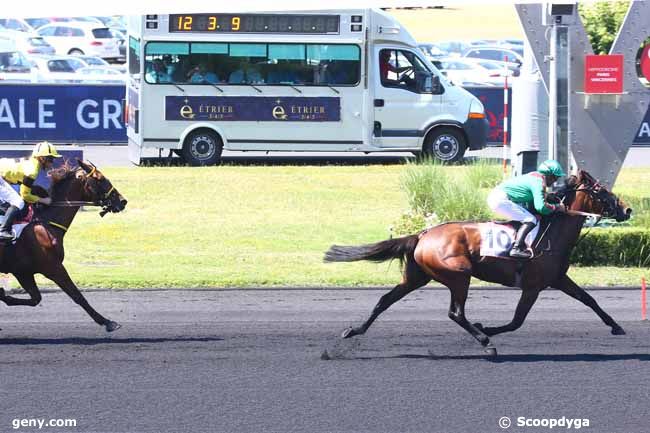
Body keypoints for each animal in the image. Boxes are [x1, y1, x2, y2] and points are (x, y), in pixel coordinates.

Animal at [0, 160, 128, 332]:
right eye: (100, 178)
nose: (122, 201)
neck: (46, 223)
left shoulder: (22, 271)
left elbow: (36, 299)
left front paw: (2, 294)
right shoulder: (53, 268)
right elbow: (77, 296)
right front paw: (107, 322)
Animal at [326, 170, 632, 354]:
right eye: (601, 191)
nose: (627, 210)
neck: (551, 231)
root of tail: (423, 234)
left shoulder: (557, 278)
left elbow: (589, 299)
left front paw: (616, 326)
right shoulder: (533, 285)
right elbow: (516, 321)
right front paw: (487, 329)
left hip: (416, 277)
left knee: (384, 301)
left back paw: (353, 330)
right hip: (459, 275)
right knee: (456, 313)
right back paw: (485, 343)